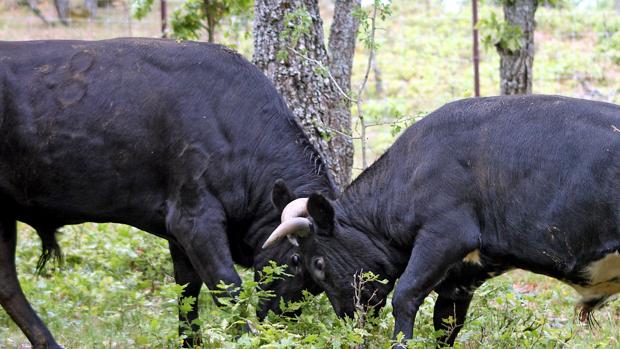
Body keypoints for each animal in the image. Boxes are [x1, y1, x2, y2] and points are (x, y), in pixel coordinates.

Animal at [0, 38, 334, 348]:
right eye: (297, 260)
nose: (282, 318)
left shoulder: (180, 235)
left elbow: (188, 294)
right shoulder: (195, 222)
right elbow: (227, 287)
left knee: (6, 284)